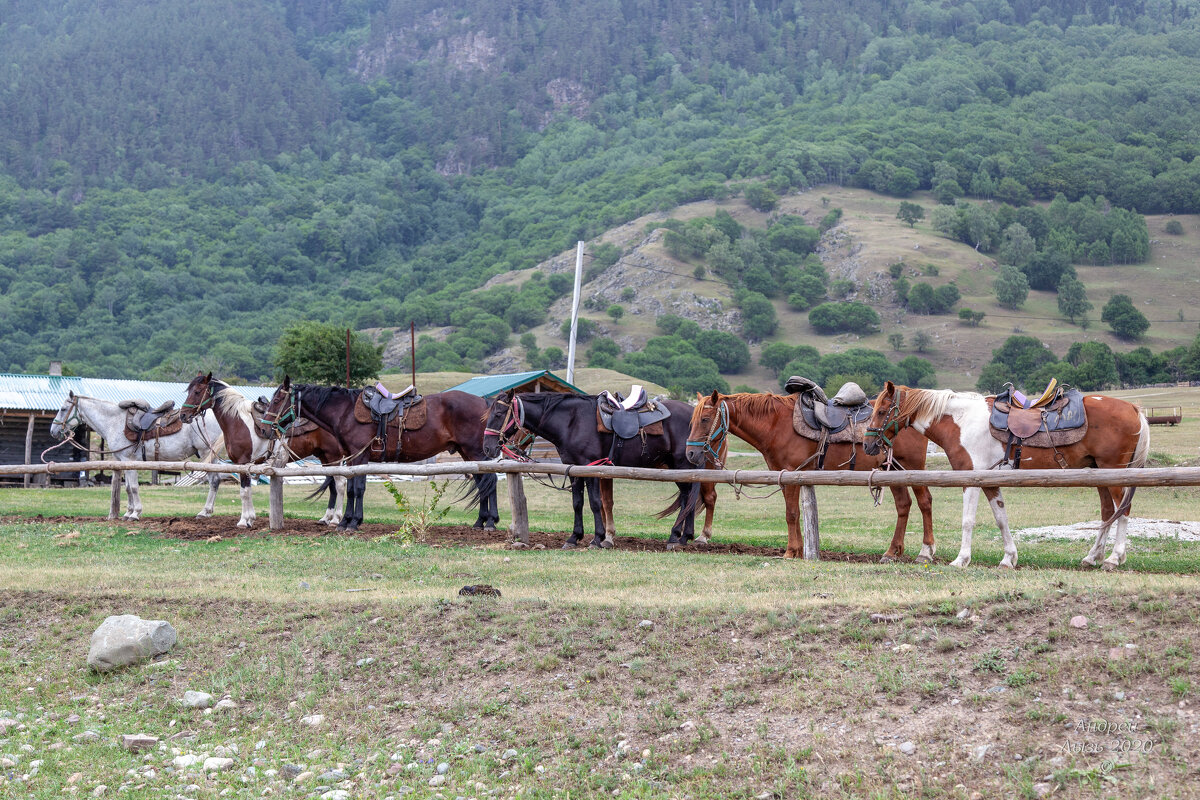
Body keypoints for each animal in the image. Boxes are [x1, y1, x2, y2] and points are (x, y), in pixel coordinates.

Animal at [48, 391, 225, 522]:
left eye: (63, 409)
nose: (53, 431)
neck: (115, 422)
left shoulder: (129, 460)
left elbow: (133, 487)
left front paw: (135, 513)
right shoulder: (123, 462)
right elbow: (127, 487)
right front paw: (127, 513)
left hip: (207, 454)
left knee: (214, 481)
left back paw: (204, 512)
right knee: (215, 481)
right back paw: (207, 511)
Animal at [260, 381, 499, 534]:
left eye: (278, 399)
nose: (264, 429)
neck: (345, 411)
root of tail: (484, 403)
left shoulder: (360, 457)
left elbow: (357, 489)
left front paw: (353, 522)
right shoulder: (351, 459)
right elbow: (350, 488)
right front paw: (346, 521)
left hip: (476, 452)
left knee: (490, 481)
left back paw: (490, 521)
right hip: (469, 454)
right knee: (483, 484)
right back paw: (480, 521)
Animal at [482, 388, 715, 551]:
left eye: (500, 413)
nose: (488, 447)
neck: (572, 421)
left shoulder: (590, 468)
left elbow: (595, 503)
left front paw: (597, 538)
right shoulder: (573, 469)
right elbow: (577, 503)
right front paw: (574, 537)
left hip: (682, 465)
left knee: (689, 496)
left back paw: (677, 536)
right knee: (688, 497)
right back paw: (683, 536)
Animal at [686, 391, 936, 561]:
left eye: (705, 420)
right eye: (691, 421)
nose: (690, 453)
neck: (776, 424)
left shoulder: (793, 473)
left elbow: (791, 514)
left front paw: (790, 551)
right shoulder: (787, 477)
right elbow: (795, 513)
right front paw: (798, 550)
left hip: (911, 468)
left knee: (924, 502)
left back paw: (925, 551)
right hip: (892, 470)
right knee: (903, 505)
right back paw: (892, 552)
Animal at [864, 383, 1152, 573]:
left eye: (882, 411)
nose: (868, 445)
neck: (961, 421)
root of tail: (1133, 408)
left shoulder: (971, 479)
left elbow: (967, 521)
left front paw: (961, 560)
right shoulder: (990, 482)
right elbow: (1001, 519)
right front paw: (1008, 559)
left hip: (1116, 473)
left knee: (1123, 511)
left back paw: (1113, 558)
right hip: (1101, 474)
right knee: (1107, 513)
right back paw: (1092, 557)